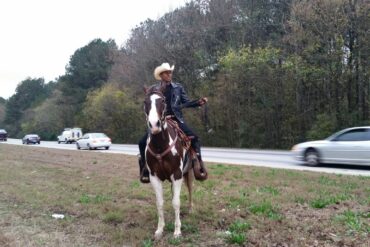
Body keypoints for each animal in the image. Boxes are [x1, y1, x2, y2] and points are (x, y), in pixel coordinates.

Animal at [142, 87, 194, 239]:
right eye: (145, 102)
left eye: (163, 100)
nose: (154, 125)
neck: (160, 145)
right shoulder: (154, 177)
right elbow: (160, 203)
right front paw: (160, 229)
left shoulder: (177, 175)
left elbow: (176, 203)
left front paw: (177, 231)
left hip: (188, 173)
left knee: (189, 189)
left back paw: (190, 208)